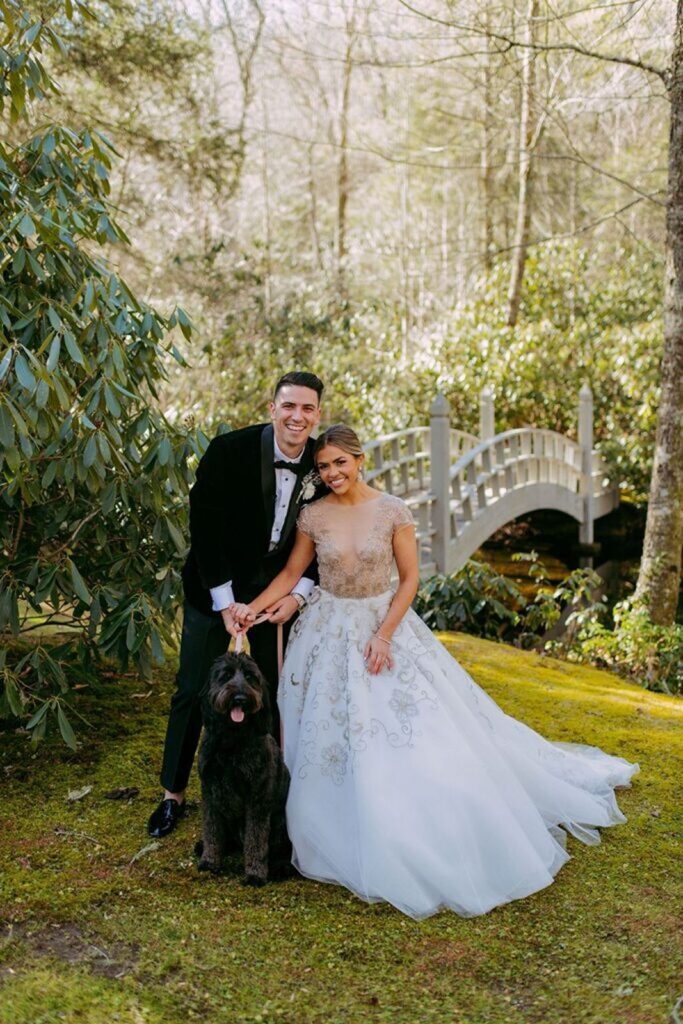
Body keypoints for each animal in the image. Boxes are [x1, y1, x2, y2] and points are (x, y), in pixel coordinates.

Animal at [198, 655, 292, 888]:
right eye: (226, 675)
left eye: (250, 677)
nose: (240, 698)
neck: (231, 740)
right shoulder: (210, 792)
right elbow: (211, 829)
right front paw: (209, 860)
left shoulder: (258, 798)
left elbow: (256, 839)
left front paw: (255, 873)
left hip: (280, 821)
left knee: (279, 848)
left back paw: (280, 867)